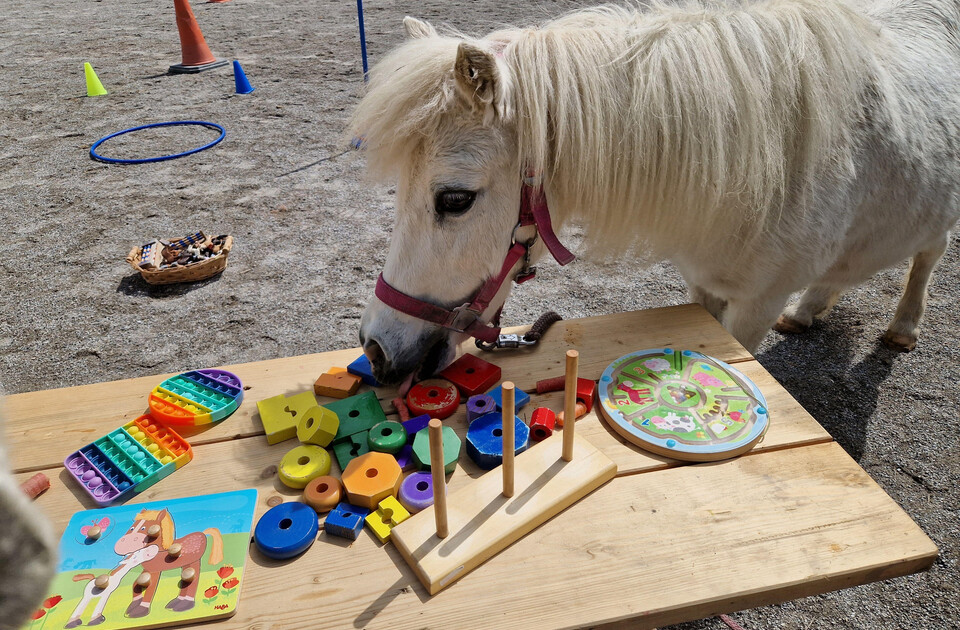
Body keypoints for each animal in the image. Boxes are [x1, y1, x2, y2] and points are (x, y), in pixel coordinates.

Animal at [348, 0, 960, 387]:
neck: (756, 168)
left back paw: (904, 326)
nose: (375, 348)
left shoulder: (755, 306)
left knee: (928, 255)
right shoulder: (703, 287)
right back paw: (809, 309)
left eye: (454, 199)